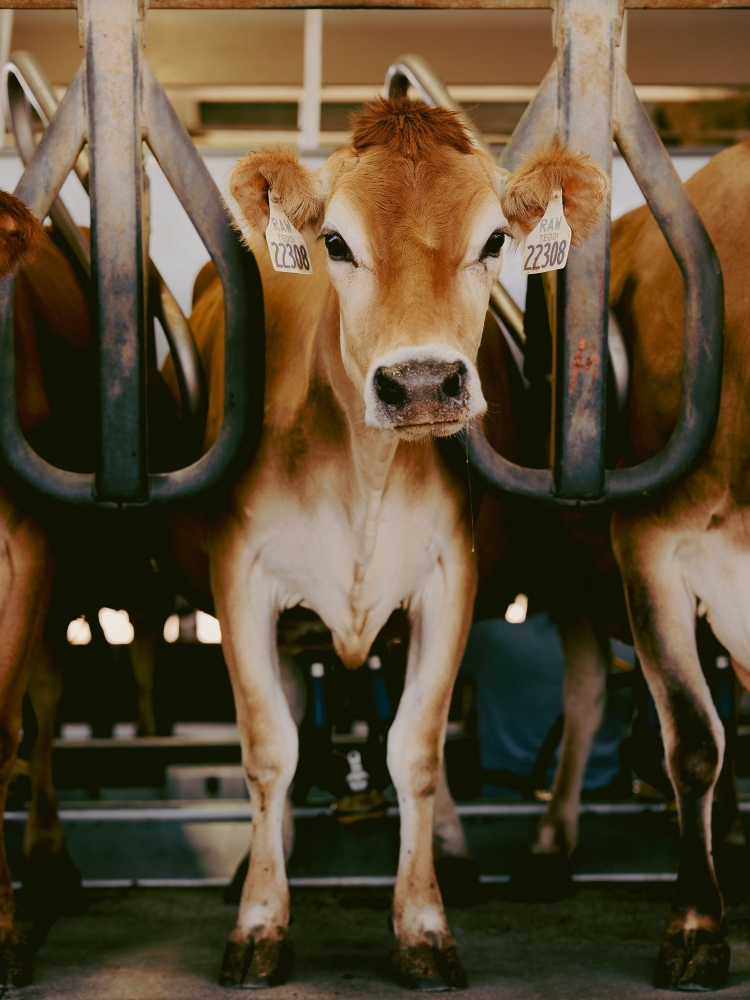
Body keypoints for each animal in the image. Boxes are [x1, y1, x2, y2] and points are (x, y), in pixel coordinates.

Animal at [161, 97, 607, 989]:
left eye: (494, 240)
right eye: (336, 241)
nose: (424, 383)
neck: (364, 473)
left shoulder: (448, 580)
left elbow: (419, 752)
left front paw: (424, 925)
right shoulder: (242, 580)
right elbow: (270, 750)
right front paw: (259, 922)